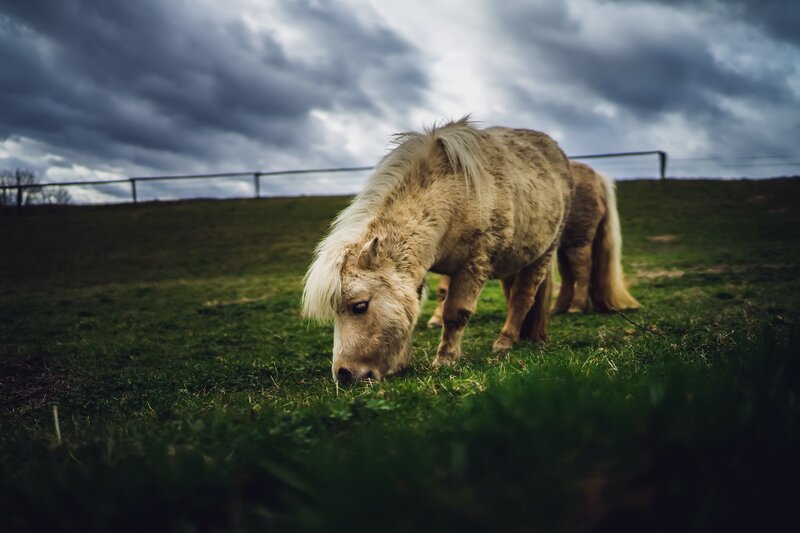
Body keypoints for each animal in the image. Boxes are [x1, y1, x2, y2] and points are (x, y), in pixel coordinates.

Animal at [302, 117, 574, 384]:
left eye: (360, 306)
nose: (343, 375)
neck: (454, 197)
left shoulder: (474, 264)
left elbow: (455, 313)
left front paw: (445, 359)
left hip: (543, 254)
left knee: (522, 297)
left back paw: (505, 341)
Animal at [427, 160, 639, 328]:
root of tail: (595, 175)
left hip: (577, 240)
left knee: (582, 269)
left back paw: (577, 307)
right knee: (568, 274)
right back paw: (559, 308)